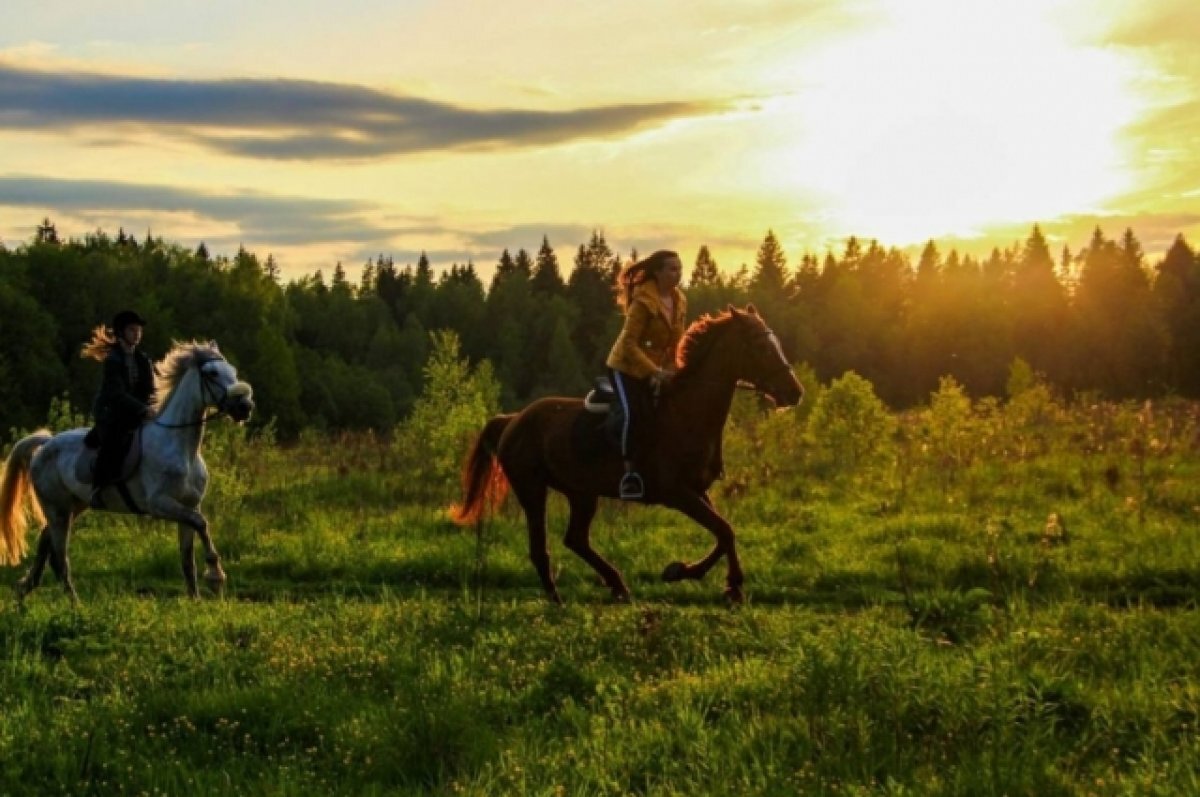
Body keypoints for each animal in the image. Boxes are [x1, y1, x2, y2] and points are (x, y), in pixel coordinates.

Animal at [0, 338, 253, 600]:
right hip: (57, 508)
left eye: (232, 371)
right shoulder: (160, 504)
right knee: (60, 559)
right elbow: (201, 523)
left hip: (73, 506)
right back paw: (73, 604)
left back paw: (24, 589)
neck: (181, 448)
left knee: (45, 540)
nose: (245, 406)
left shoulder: (189, 505)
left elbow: (188, 557)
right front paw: (215, 575)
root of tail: (45, 444)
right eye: (212, 373)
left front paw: (195, 599)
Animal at [453, 306, 801, 604]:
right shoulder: (677, 493)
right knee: (541, 548)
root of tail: (513, 419)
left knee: (576, 539)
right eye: (760, 346)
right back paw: (558, 601)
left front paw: (699, 576)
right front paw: (711, 579)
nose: (795, 392)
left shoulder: (697, 491)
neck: (687, 412)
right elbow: (724, 530)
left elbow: (724, 532)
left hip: (581, 493)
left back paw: (617, 585)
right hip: (532, 489)